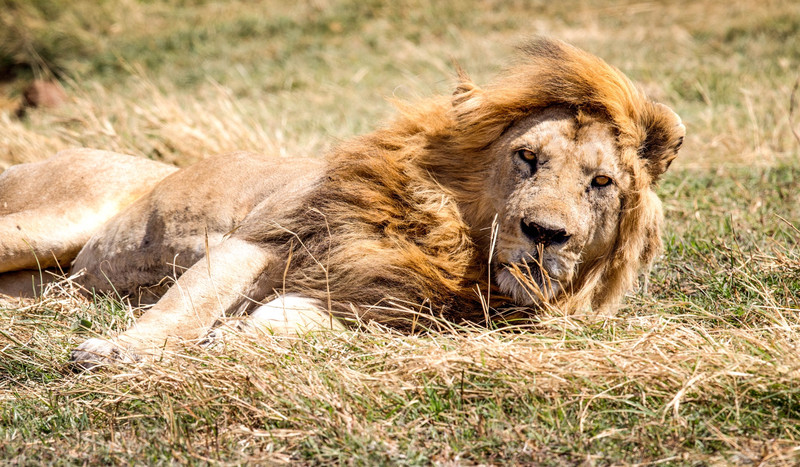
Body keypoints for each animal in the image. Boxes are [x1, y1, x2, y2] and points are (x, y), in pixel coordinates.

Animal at [1, 38, 688, 370]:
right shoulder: (255, 241)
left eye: (601, 183)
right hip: (48, 219)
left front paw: (237, 339)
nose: (545, 233)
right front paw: (119, 352)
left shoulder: (382, 302)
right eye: (527, 157)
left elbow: (291, 322)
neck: (453, 243)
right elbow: (186, 304)